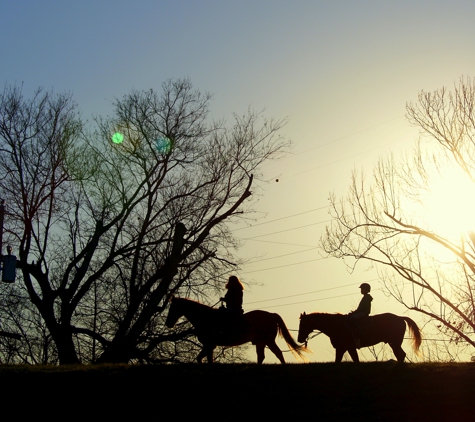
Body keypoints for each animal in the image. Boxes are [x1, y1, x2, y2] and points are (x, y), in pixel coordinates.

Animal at [166, 296, 308, 362]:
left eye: (172, 307)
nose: (168, 323)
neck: (206, 318)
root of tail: (271, 314)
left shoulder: (209, 345)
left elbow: (204, 360)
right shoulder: (209, 346)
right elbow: (202, 359)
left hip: (268, 341)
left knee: (278, 354)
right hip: (261, 342)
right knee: (261, 357)